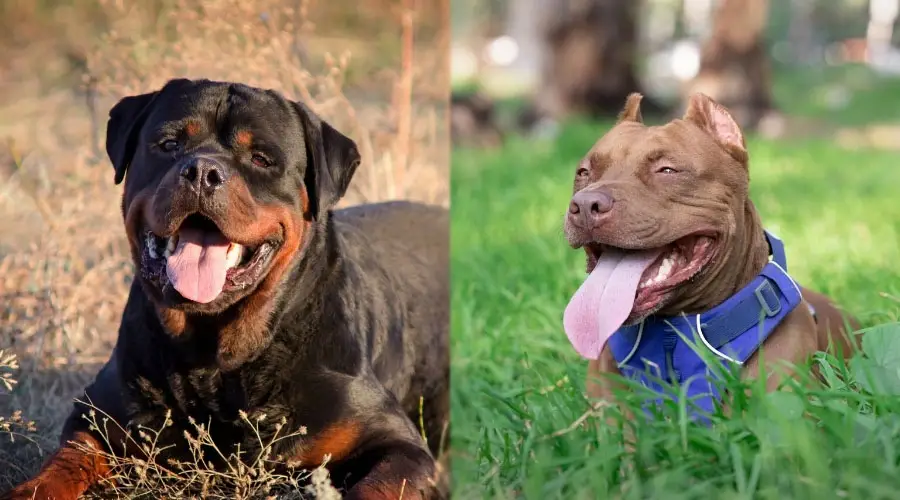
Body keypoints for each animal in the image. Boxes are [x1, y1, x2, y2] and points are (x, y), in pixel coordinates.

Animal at [2, 78, 446, 500]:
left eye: (262, 158)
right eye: (169, 145)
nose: (202, 171)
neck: (213, 358)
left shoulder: (401, 448)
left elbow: (375, 486)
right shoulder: (95, 417)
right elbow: (61, 465)